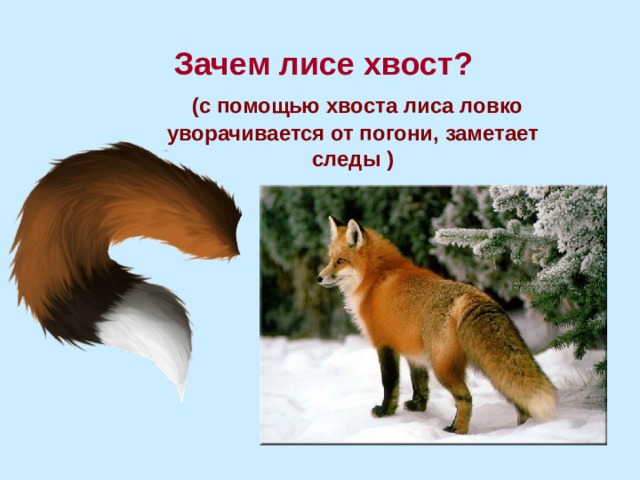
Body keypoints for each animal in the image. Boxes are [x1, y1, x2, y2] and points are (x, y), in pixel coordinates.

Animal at [317, 216, 557, 434]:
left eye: (340, 261)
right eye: (330, 259)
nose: (319, 278)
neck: (376, 277)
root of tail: (471, 295)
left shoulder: (384, 344)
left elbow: (390, 383)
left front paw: (385, 412)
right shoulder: (411, 349)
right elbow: (419, 384)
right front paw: (417, 408)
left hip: (442, 366)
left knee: (465, 398)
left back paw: (456, 431)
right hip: (483, 365)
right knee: (516, 397)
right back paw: (523, 429)